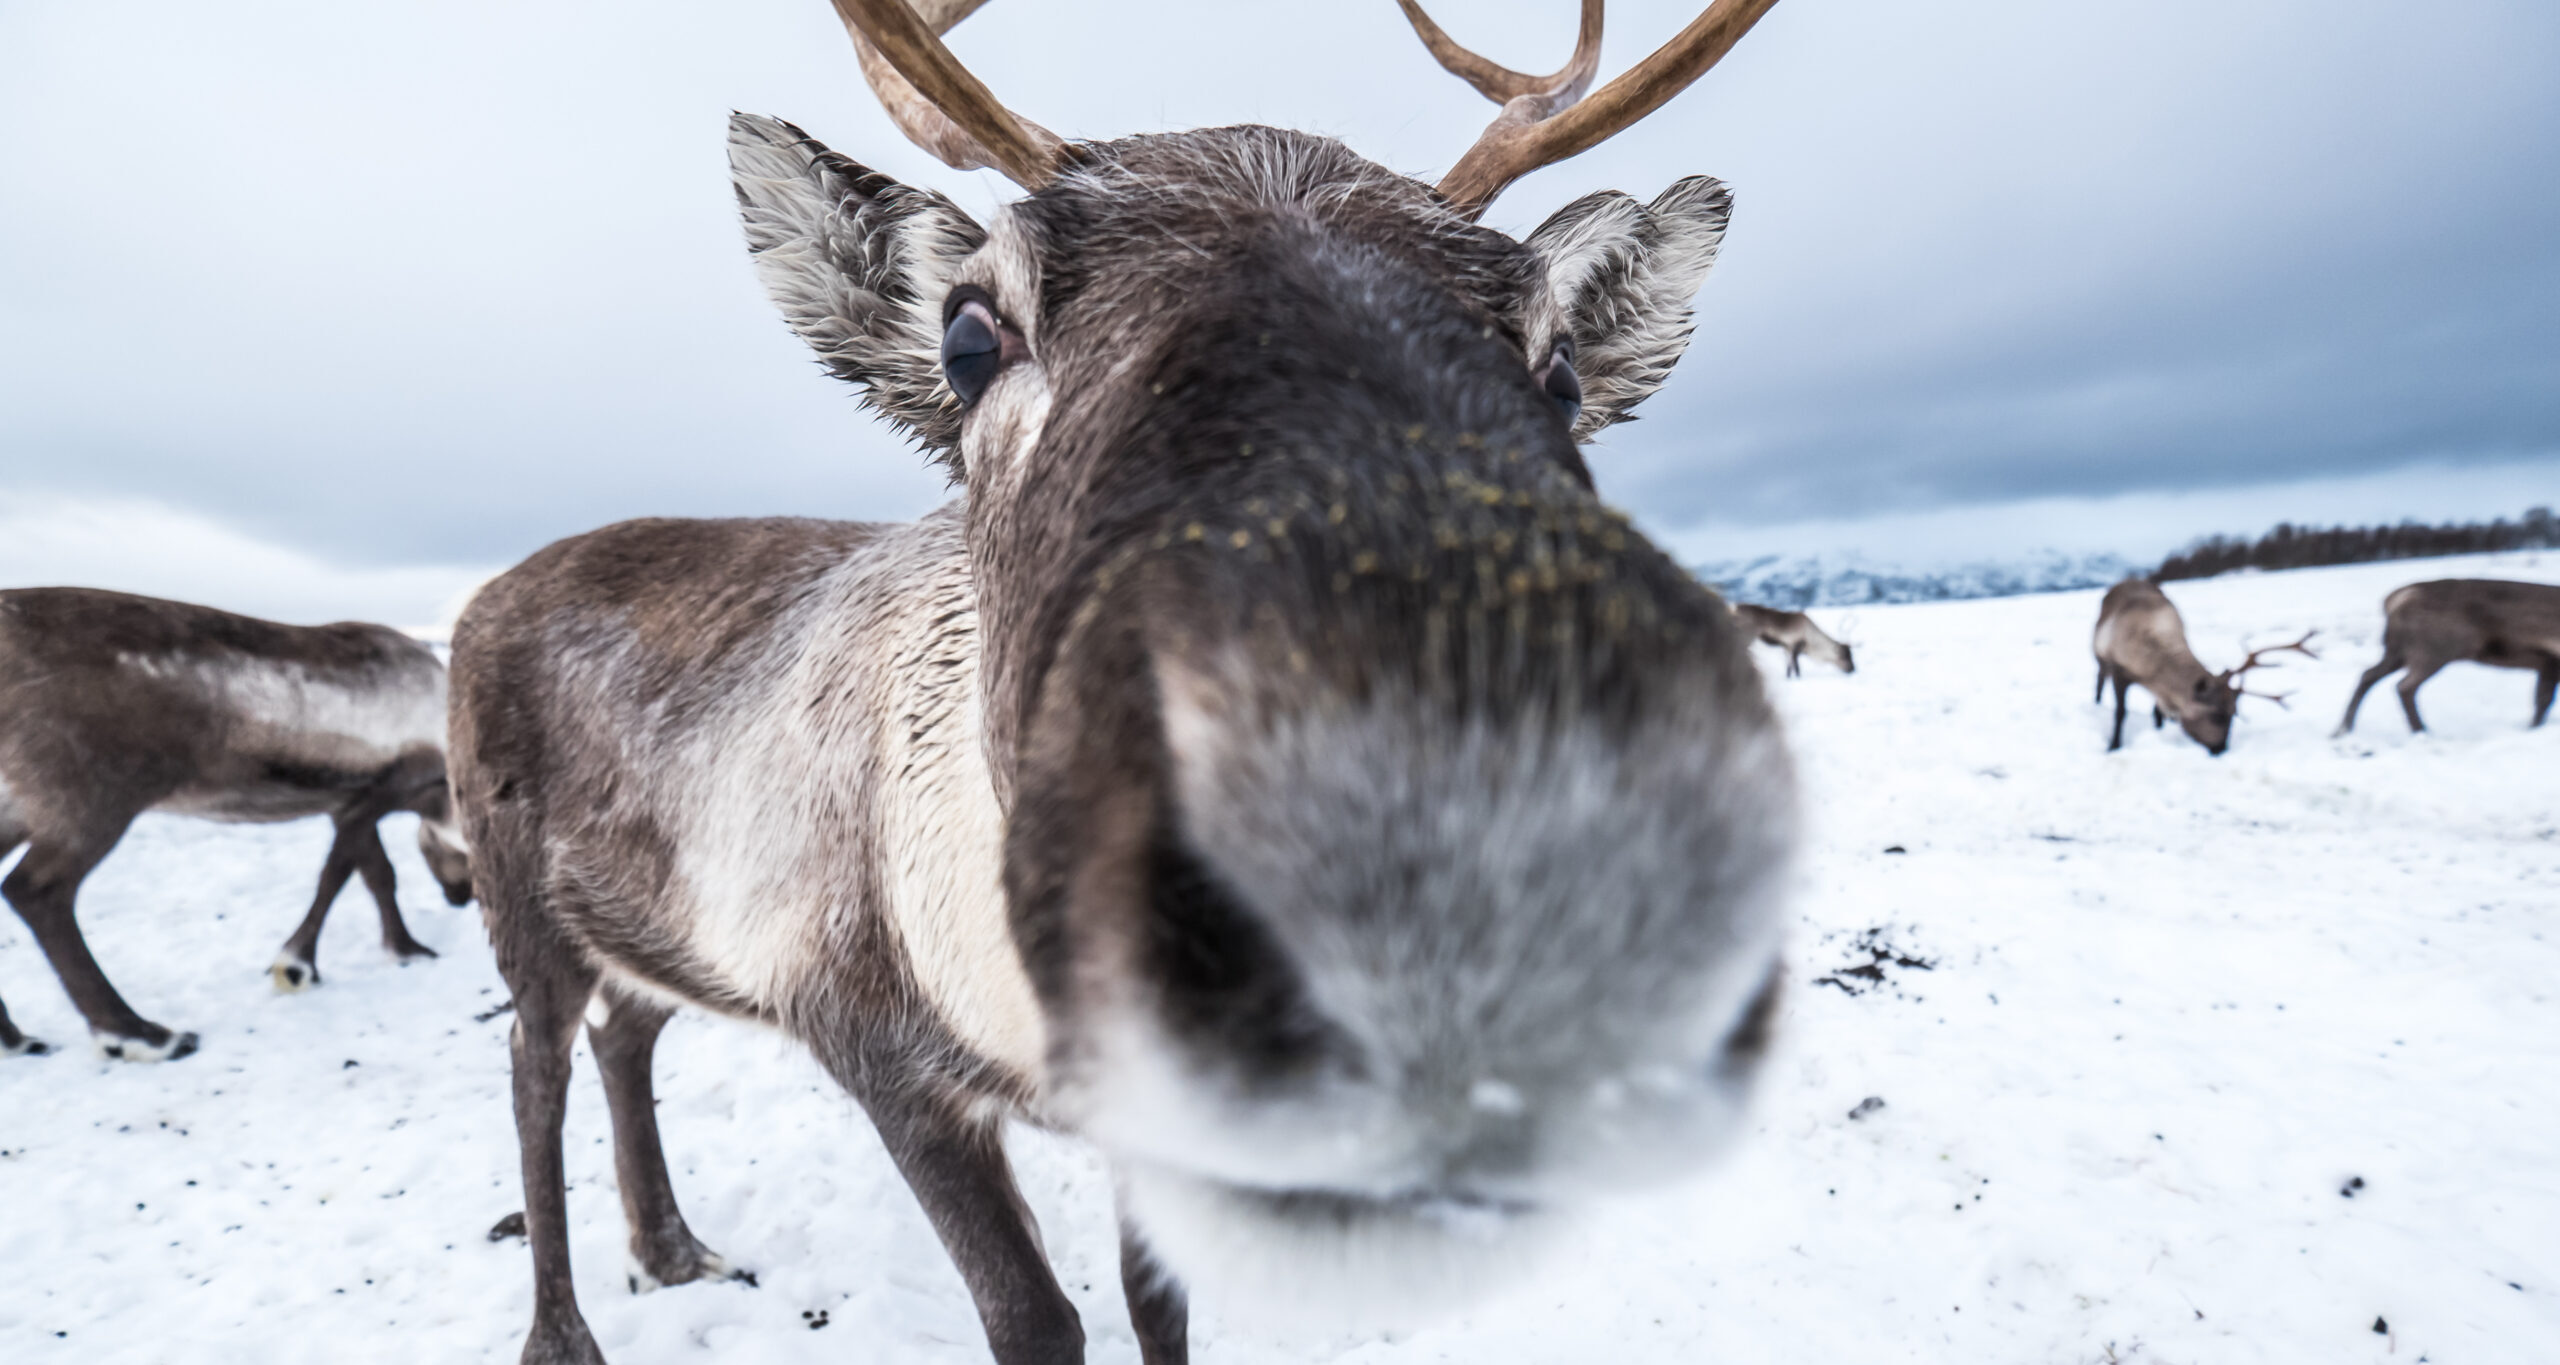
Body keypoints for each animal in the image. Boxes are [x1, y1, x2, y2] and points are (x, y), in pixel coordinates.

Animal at [0, 587, 473, 1062]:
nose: (461, 897)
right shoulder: (378, 792)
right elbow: (338, 873)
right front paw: (296, 965)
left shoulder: (346, 804)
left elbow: (374, 873)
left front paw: (405, 948)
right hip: (98, 798)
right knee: (36, 891)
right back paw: (140, 1034)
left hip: (20, 808)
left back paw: (17, 1037)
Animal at [446, 1, 1799, 1361]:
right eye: (968, 333)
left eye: (1560, 364)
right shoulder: (866, 1039)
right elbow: (1035, 1319)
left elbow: (1161, 1307)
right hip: (517, 900)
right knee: (532, 1076)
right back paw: (562, 1330)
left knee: (628, 1031)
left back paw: (669, 1247)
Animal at [2091, 579, 2314, 756]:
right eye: (2216, 715)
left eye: (2233, 713)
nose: (2220, 749)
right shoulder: (2119, 671)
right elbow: (2120, 713)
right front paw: (2114, 745)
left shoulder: (2159, 689)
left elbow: (2158, 711)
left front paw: (2159, 730)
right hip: (2098, 656)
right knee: (2100, 680)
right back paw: (2097, 703)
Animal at [2335, 579, 2560, 734]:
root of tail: (2394, 600)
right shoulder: (2550, 659)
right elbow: (2543, 701)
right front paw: (2533, 728)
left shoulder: (2546, 663)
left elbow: (2541, 700)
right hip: (2433, 650)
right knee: (2404, 686)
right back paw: (2421, 730)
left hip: (2397, 651)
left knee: (2368, 675)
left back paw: (2343, 729)